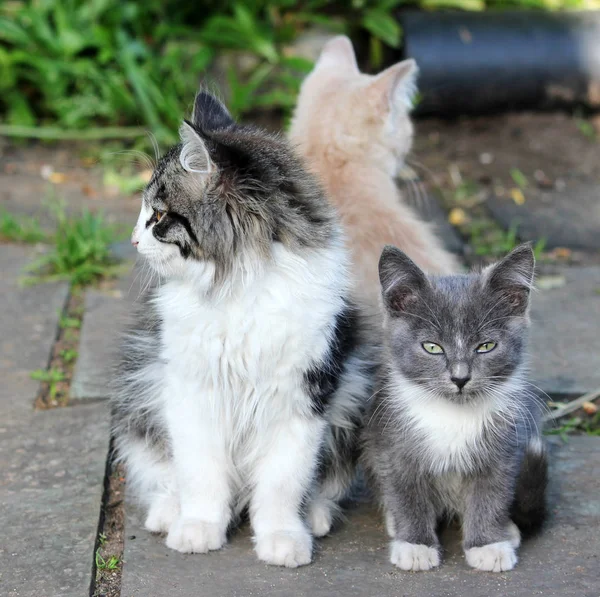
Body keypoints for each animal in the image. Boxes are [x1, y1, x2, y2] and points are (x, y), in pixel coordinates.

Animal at [111, 91, 376, 564]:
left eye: (157, 216)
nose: (134, 241)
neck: (238, 287)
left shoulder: (302, 397)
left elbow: (281, 486)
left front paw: (282, 538)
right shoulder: (191, 392)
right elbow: (201, 475)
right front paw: (197, 529)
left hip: (353, 393)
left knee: (326, 485)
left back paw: (315, 517)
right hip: (138, 396)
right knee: (163, 475)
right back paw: (168, 513)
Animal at [364, 243, 548, 572]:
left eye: (486, 346)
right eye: (432, 347)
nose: (460, 378)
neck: (452, 413)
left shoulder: (506, 445)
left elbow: (493, 493)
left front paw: (488, 544)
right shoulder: (391, 441)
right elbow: (404, 491)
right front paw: (415, 544)